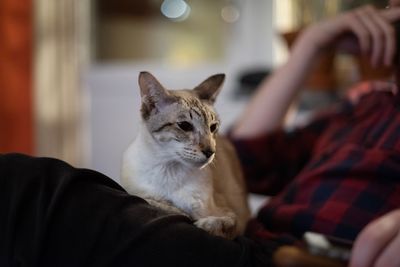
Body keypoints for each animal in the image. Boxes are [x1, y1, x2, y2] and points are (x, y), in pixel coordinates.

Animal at [121, 72, 250, 240]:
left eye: (213, 127)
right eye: (184, 126)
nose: (210, 151)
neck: (169, 169)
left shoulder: (233, 215)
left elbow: (226, 223)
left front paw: (205, 224)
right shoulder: (137, 192)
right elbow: (156, 202)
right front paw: (177, 210)